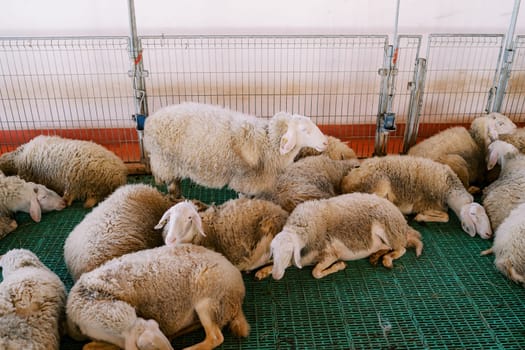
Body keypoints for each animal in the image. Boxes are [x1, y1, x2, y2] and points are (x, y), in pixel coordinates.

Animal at [143, 102, 328, 198]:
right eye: (304, 130)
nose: (325, 142)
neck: (267, 142)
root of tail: (150, 120)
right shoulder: (244, 180)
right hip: (165, 161)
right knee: (172, 184)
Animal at [268, 193, 424, 280]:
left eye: (288, 251)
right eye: (273, 251)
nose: (276, 276)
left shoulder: (331, 254)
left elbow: (315, 273)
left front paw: (339, 266)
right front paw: (266, 270)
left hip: (390, 231)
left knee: (401, 248)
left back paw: (387, 260)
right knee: (386, 247)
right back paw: (376, 256)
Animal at [340, 155, 492, 239]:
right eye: (473, 215)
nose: (489, 234)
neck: (449, 190)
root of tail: (346, 181)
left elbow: (445, 215)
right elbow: (446, 216)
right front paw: (421, 217)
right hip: (380, 185)